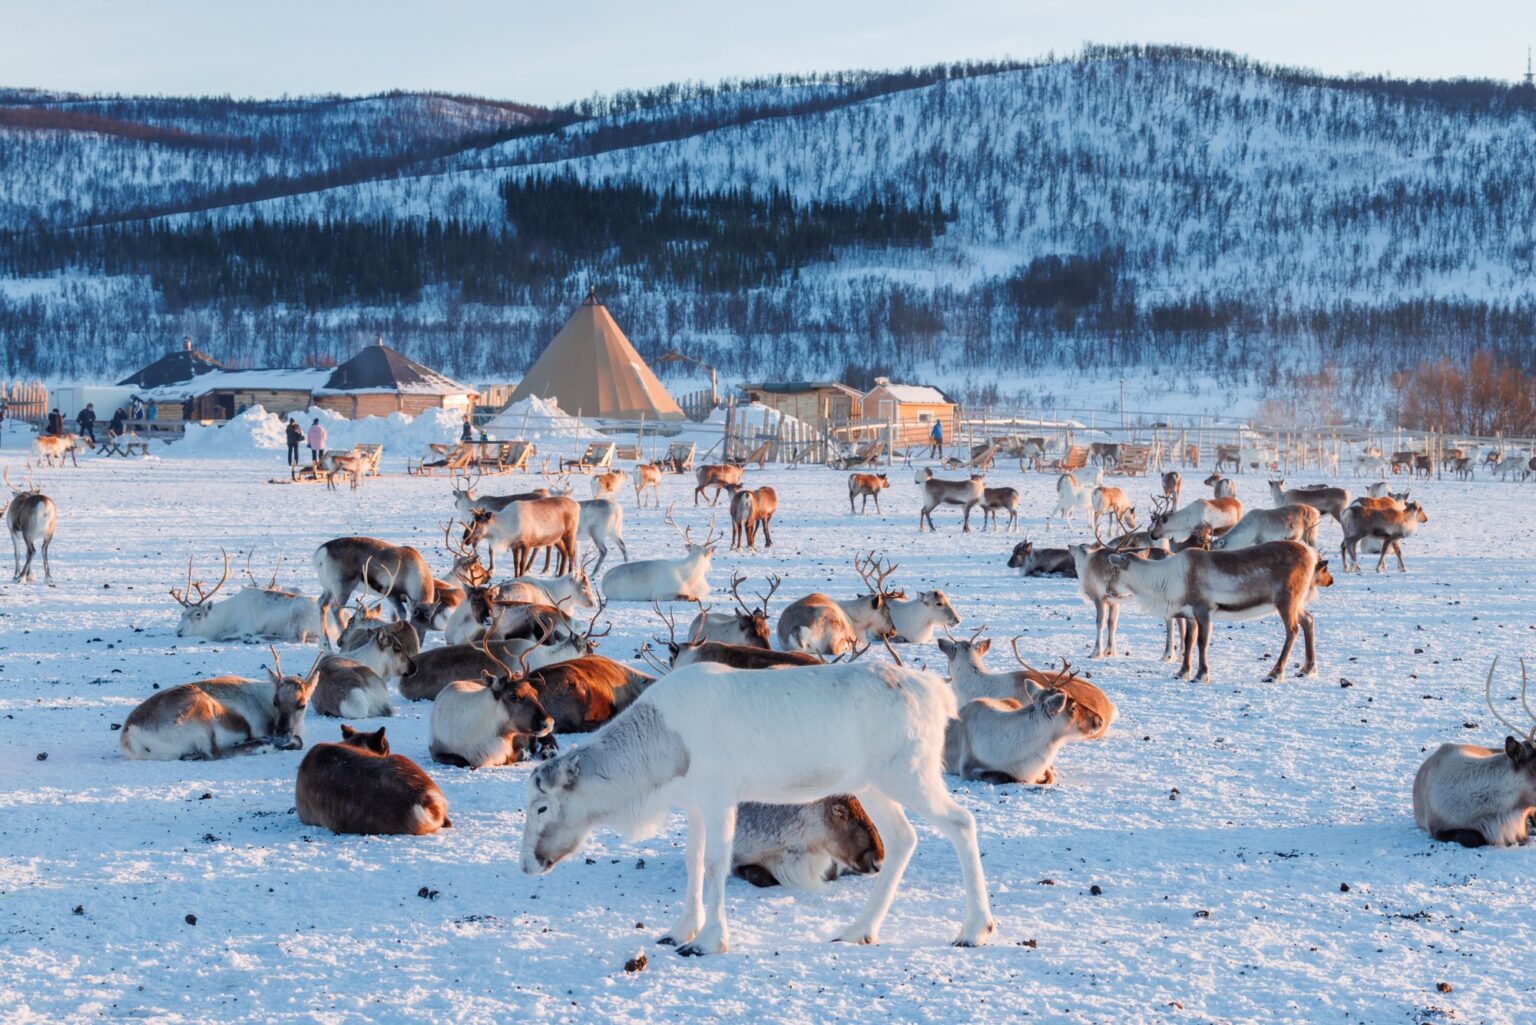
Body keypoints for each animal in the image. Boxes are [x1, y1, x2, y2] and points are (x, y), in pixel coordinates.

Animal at [120, 647, 319, 760]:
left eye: (302, 704)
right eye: (275, 701)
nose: (280, 735)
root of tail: (130, 730)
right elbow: (299, 740)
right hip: (204, 719)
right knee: (214, 754)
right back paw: (264, 745)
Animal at [519, 660, 996, 954]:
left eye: (541, 807)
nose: (526, 864)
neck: (661, 747)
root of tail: (937, 694)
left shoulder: (719, 798)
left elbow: (715, 864)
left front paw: (709, 940)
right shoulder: (695, 805)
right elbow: (693, 861)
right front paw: (678, 930)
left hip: (908, 775)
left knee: (961, 822)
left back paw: (975, 929)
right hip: (874, 785)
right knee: (902, 840)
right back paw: (860, 930)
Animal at [1108, 540, 1333, 683]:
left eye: (1115, 570)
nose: (1109, 590)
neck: (1165, 579)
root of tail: (1312, 554)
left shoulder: (1204, 610)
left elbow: (1201, 642)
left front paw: (1201, 675)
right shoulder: (1190, 614)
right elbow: (1188, 641)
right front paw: (1182, 672)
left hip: (1287, 600)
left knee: (1293, 630)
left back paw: (1274, 673)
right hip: (1296, 602)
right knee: (1309, 620)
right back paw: (1307, 669)